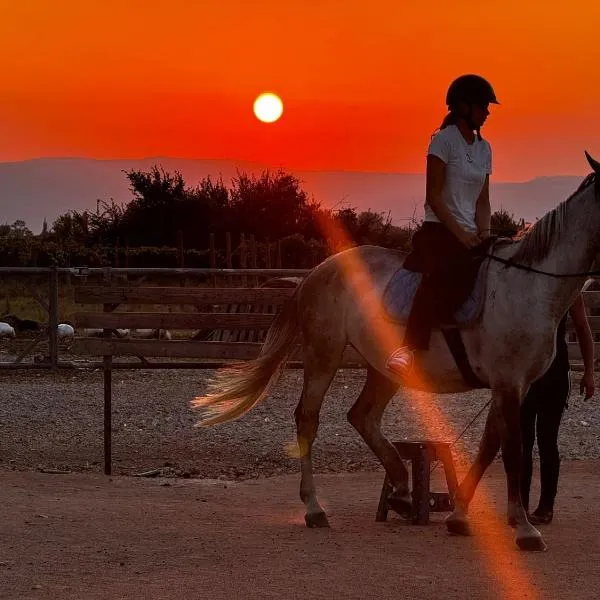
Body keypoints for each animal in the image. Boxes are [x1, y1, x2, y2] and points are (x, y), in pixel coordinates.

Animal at [192, 151, 600, 552]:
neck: (528, 285)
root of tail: (315, 273)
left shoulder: (515, 386)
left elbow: (489, 446)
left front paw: (458, 516)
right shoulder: (507, 383)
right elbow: (512, 451)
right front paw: (524, 529)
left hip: (384, 368)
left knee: (363, 416)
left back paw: (402, 490)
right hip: (324, 353)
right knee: (308, 418)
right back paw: (314, 508)